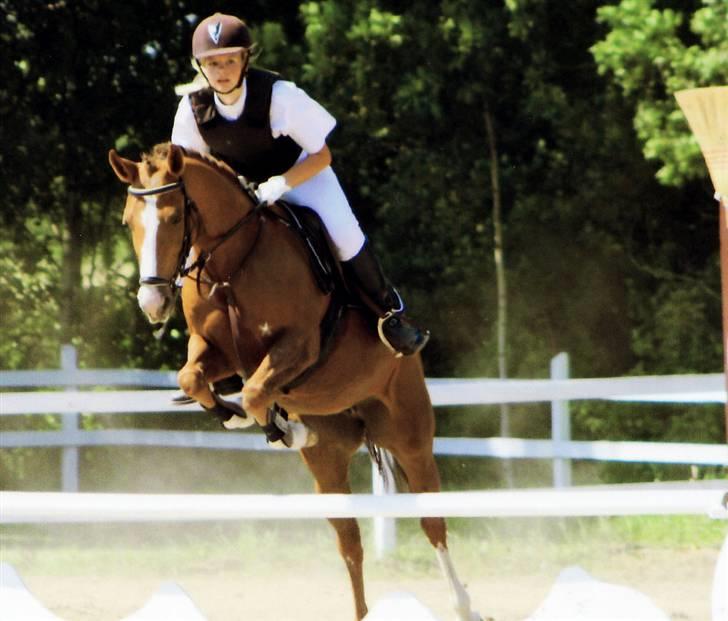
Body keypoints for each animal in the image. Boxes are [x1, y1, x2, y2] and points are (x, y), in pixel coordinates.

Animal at [108, 142, 483, 621]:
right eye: (128, 221)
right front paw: (244, 418)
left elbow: (254, 391)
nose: (152, 303)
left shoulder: (299, 347)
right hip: (328, 463)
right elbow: (193, 377)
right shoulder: (215, 352)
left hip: (410, 435)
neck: (233, 265)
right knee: (350, 542)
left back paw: (464, 605)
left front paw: (280, 426)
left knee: (432, 521)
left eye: (174, 218)